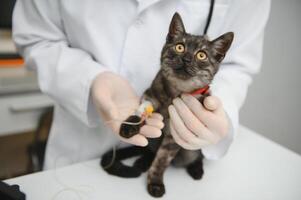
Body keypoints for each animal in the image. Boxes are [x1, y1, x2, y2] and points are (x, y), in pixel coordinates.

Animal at [99, 12, 233, 198]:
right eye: (179, 47)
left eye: (201, 55)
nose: (186, 58)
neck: (174, 94)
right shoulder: (150, 95)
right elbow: (142, 110)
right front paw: (129, 125)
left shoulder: (175, 136)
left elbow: (162, 160)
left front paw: (155, 183)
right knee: (149, 150)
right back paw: (142, 162)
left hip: (190, 151)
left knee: (196, 156)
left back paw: (196, 170)